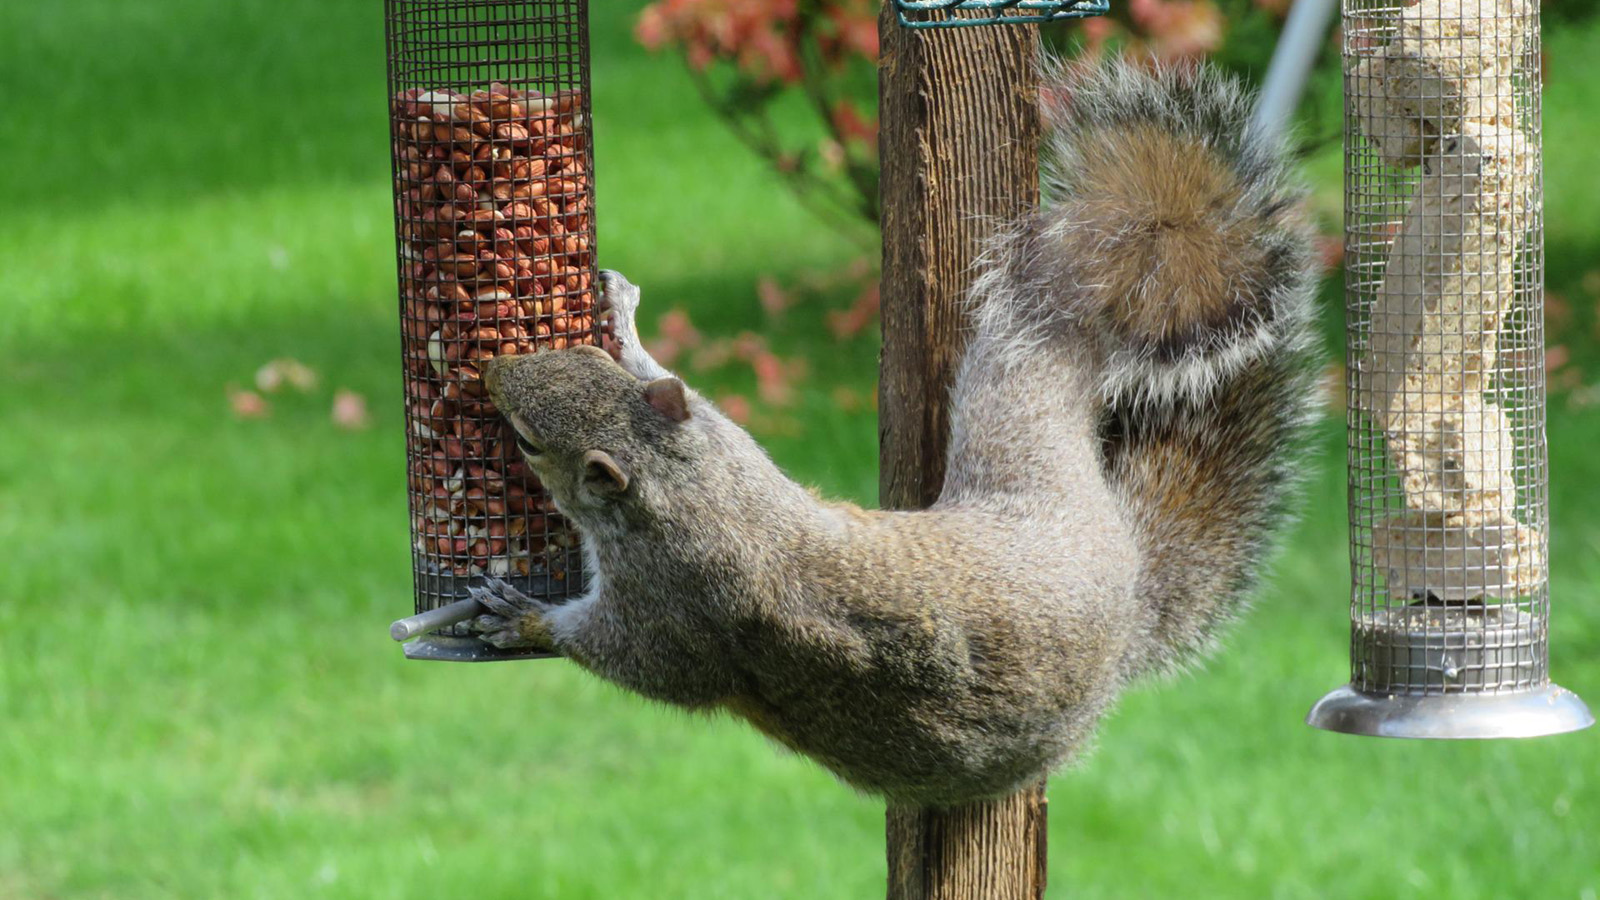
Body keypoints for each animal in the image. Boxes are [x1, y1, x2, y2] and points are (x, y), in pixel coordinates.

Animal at [467, 63, 1318, 807]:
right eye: (578, 363)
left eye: (529, 440)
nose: (493, 373)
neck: (682, 481)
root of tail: (1127, 581)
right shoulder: (724, 440)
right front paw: (624, 321)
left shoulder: (674, 603)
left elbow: (635, 660)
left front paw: (522, 619)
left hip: (1011, 428)